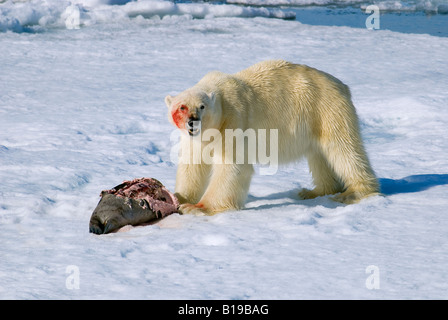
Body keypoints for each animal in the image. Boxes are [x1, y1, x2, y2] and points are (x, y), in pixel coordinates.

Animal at [164, 59, 378, 215]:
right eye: (182, 107)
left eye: (202, 106)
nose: (193, 121)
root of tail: (343, 86)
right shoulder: (194, 139)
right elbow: (192, 166)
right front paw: (178, 197)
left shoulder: (234, 121)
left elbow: (232, 166)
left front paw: (196, 207)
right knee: (319, 155)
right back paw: (314, 191)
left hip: (327, 110)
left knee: (344, 149)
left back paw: (354, 193)